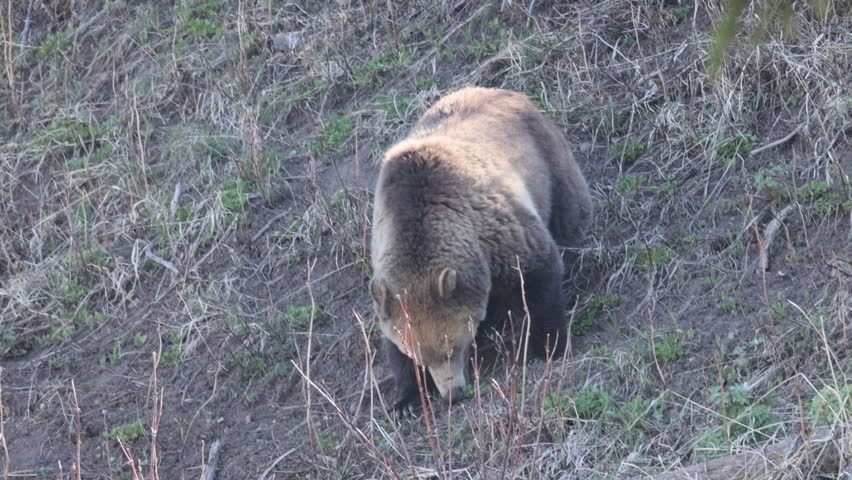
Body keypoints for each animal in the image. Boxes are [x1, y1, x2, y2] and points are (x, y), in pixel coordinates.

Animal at [368, 86, 592, 417]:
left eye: (453, 346)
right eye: (421, 355)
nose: (453, 393)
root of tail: (496, 89)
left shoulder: (498, 232)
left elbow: (538, 278)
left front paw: (549, 346)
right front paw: (405, 399)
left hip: (549, 158)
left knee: (570, 209)